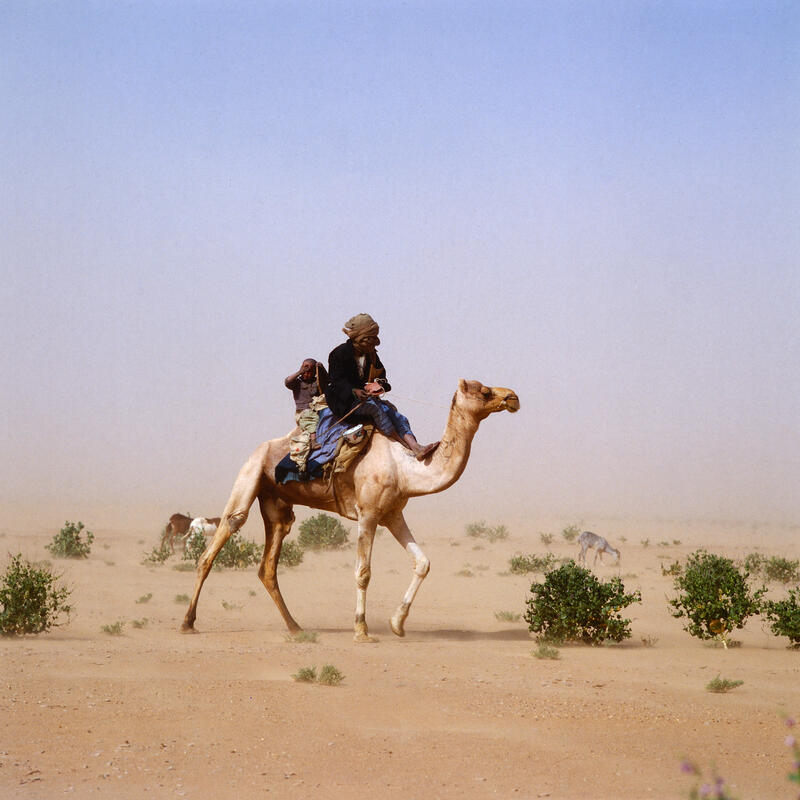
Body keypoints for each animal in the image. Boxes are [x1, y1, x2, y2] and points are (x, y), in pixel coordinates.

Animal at [180, 379, 519, 642]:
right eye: (484, 390)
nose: (512, 396)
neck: (406, 468)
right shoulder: (367, 513)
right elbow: (363, 572)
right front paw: (361, 631)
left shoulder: (392, 514)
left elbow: (422, 563)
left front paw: (397, 624)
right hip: (250, 474)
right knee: (218, 540)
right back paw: (187, 623)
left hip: (276, 503)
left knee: (269, 563)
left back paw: (295, 627)